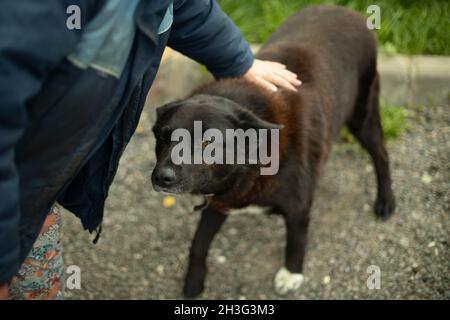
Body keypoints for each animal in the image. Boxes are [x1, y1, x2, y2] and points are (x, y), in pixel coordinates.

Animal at [151, 5, 394, 298]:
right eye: (164, 137)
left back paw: (386, 202)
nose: (161, 177)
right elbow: (198, 244)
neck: (253, 161)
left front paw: (291, 275)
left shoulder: (298, 207)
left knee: (381, 155)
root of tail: (347, 11)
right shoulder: (220, 200)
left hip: (363, 116)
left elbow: (296, 241)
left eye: (207, 142)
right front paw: (194, 281)